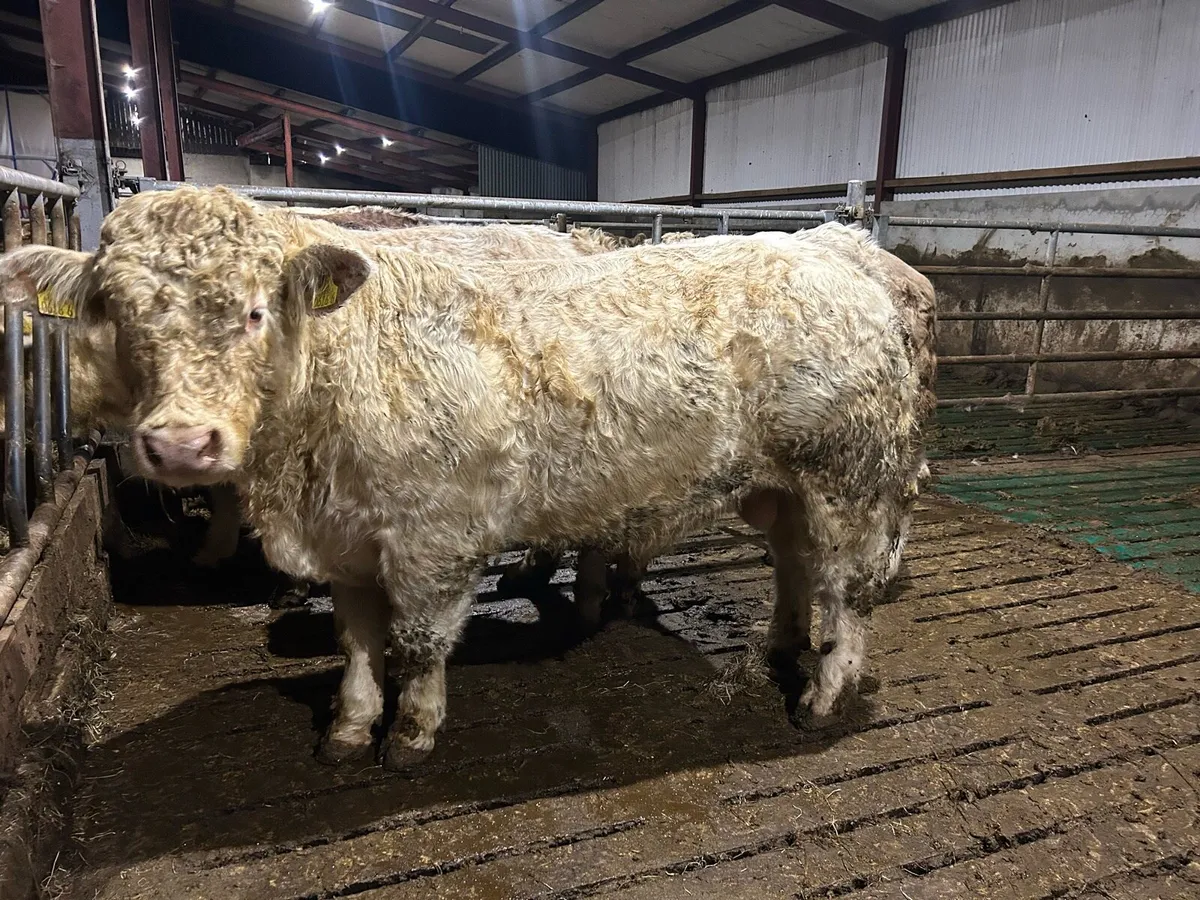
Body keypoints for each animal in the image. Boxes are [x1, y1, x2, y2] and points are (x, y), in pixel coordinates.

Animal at [0, 186, 930, 770]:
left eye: (258, 310)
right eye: (114, 312)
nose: (182, 445)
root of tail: (834, 249)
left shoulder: (431, 538)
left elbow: (417, 642)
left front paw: (411, 735)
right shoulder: (347, 540)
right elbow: (358, 642)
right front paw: (351, 728)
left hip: (849, 477)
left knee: (846, 589)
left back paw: (824, 692)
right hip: (783, 485)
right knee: (796, 566)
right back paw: (778, 649)